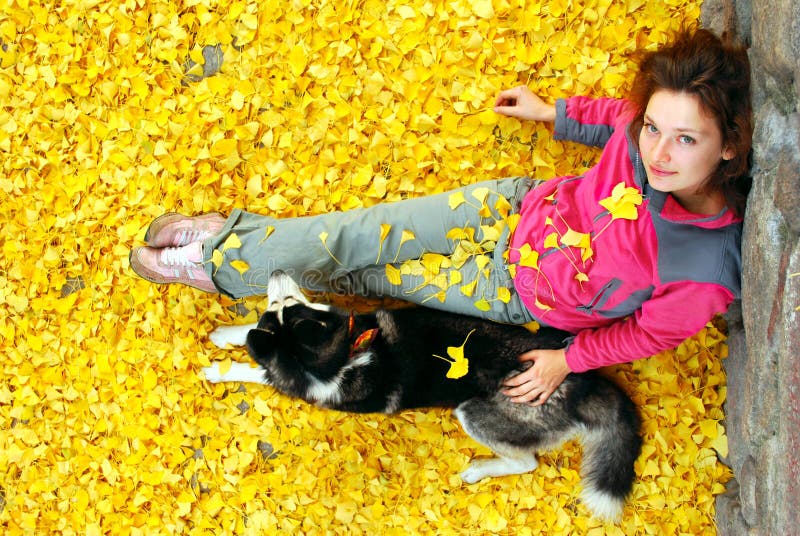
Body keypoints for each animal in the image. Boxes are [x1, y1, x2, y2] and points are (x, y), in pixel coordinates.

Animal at [203, 272, 640, 520]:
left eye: (289, 301)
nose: (277, 272)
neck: (344, 356)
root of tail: (584, 383)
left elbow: (263, 370)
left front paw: (220, 368)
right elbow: (253, 338)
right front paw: (226, 336)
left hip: (474, 412)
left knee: (526, 462)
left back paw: (480, 470)